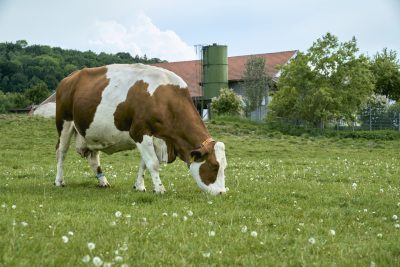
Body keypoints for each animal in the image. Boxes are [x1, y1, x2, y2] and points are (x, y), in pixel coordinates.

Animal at [54, 63, 227, 196]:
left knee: (93, 158)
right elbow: (153, 163)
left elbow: (144, 164)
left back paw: (103, 181)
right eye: (214, 166)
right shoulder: (140, 132)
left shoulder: (152, 137)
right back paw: (59, 181)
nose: (222, 192)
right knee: (61, 152)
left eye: (224, 166)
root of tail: (70, 77)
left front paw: (140, 186)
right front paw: (160, 189)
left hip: (93, 133)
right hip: (64, 122)